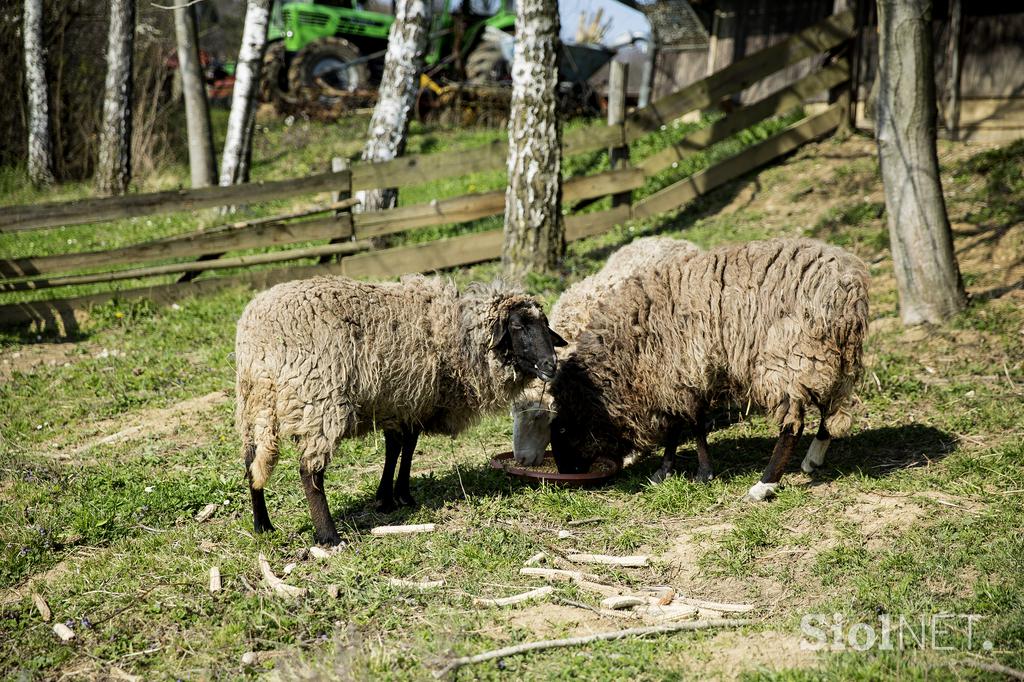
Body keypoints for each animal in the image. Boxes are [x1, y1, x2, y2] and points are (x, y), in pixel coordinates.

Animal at [234, 270, 569, 540]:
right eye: (517, 326)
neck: (457, 334)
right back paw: (328, 535)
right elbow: (405, 446)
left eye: (545, 326)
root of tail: (259, 344)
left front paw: (391, 497)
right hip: (317, 400)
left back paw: (262, 525)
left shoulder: (402, 402)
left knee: (251, 462)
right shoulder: (413, 399)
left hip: (251, 405)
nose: (550, 365)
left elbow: (399, 447)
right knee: (309, 472)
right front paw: (398, 496)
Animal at [548, 236, 868, 497]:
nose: (566, 473)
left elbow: (690, 424)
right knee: (833, 409)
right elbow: (680, 425)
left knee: (793, 424)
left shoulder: (678, 371)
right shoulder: (675, 377)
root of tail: (849, 291)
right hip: (827, 358)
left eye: (563, 428)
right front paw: (664, 472)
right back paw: (813, 458)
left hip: (787, 357)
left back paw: (765, 485)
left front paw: (700, 473)